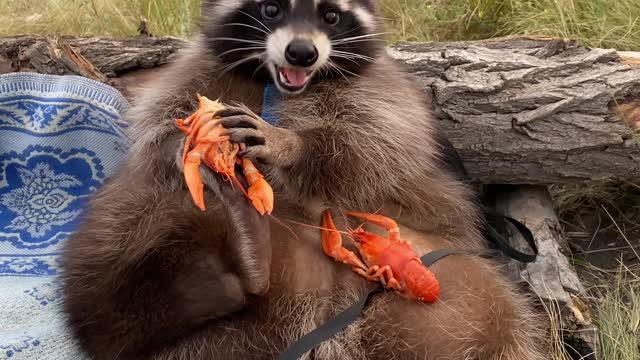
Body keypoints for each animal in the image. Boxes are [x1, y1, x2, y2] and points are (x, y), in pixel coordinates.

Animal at [61, 0, 544, 360]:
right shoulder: (196, 71)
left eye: (330, 15)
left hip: (456, 293)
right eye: (272, 9)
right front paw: (181, 141)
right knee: (114, 242)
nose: (301, 53)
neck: (279, 85)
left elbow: (374, 142)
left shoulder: (385, 93)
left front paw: (289, 144)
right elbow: (156, 122)